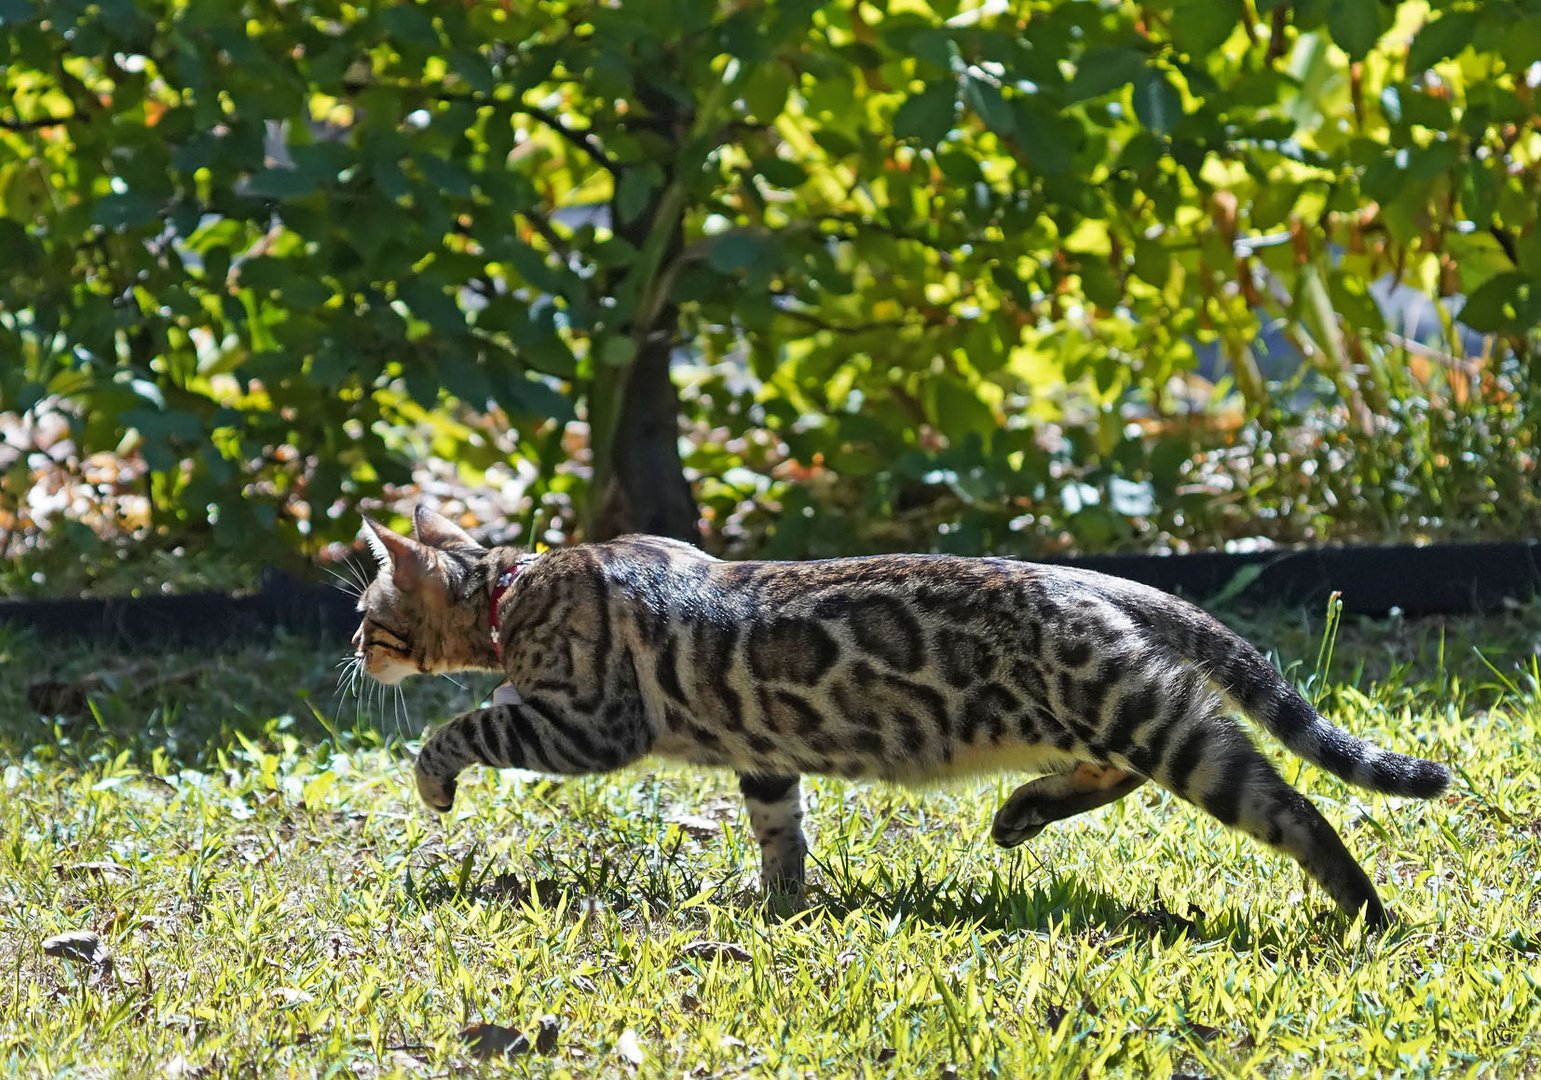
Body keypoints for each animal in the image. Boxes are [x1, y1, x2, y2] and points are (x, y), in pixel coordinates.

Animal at [354, 508, 1448, 924]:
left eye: (365, 611)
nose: (352, 652)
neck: (515, 590)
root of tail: (1101, 579)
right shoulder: (762, 753)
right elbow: (779, 832)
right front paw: (782, 907)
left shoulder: (585, 726)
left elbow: (463, 725)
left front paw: (432, 782)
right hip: (1112, 713)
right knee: (1124, 776)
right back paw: (1019, 814)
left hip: (1146, 717)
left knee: (1287, 805)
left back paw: (1363, 913)